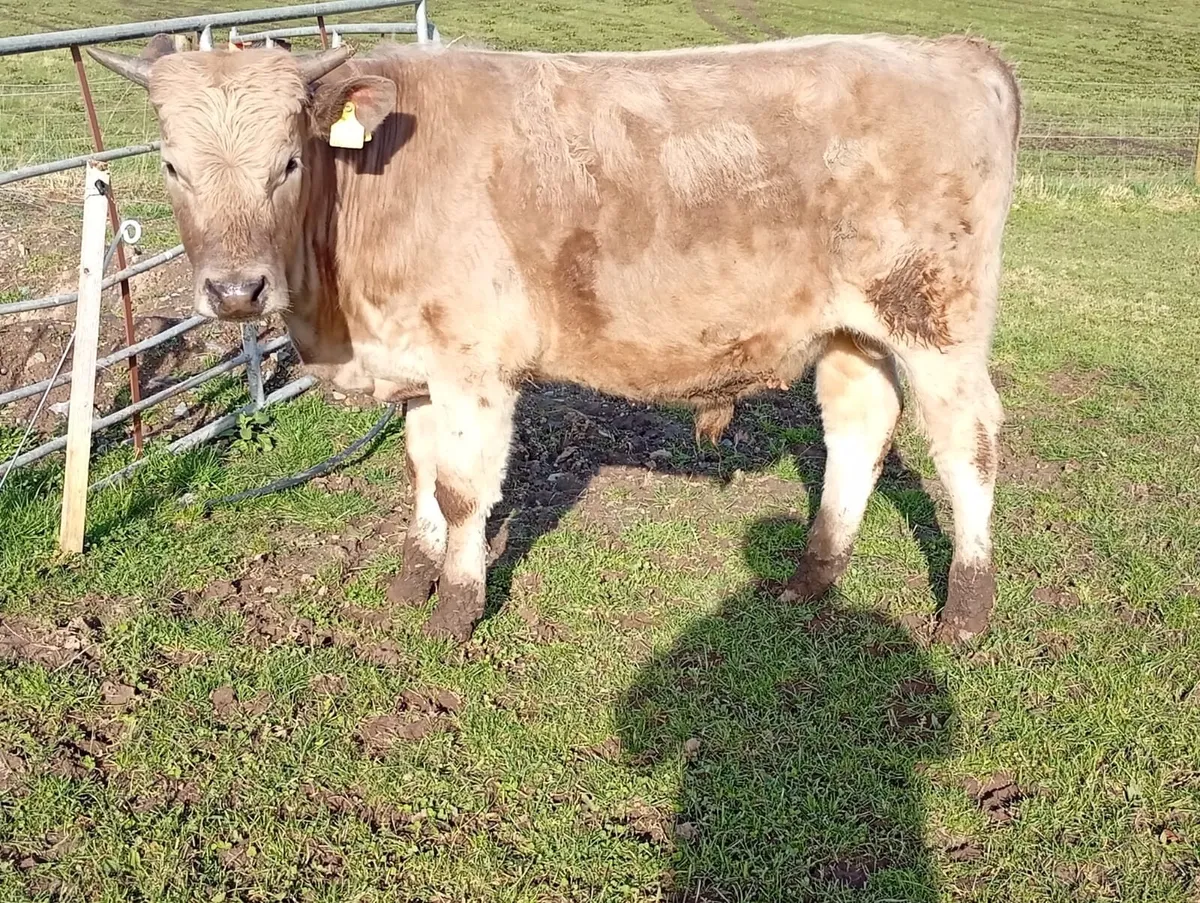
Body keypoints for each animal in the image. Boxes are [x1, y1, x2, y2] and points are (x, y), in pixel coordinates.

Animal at [88, 32, 1021, 646]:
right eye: (171, 165)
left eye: (285, 162)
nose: (234, 290)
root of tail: (951, 48)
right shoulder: (421, 364)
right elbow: (420, 471)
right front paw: (409, 579)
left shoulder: (474, 364)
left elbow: (462, 491)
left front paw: (453, 610)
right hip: (851, 328)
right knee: (859, 426)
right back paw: (809, 577)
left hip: (937, 316)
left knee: (966, 442)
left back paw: (966, 612)